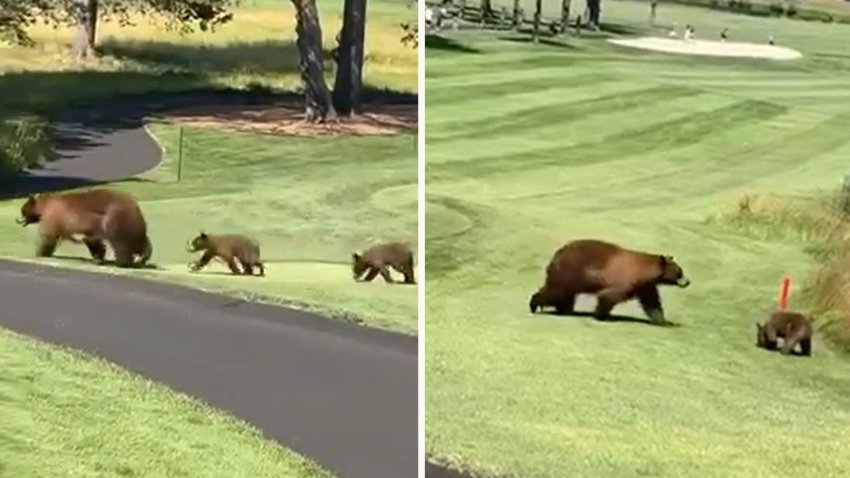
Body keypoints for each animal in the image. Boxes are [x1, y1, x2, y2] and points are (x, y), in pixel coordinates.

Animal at [17, 188, 152, 268]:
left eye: (23, 210)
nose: (17, 219)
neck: (44, 207)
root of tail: (135, 205)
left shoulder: (53, 217)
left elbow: (47, 235)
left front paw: (41, 252)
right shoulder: (88, 228)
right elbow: (93, 241)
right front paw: (98, 258)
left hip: (116, 220)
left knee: (121, 243)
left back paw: (122, 262)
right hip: (133, 225)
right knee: (141, 241)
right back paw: (143, 258)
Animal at [528, 239, 688, 324]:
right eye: (680, 272)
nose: (688, 282)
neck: (644, 271)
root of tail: (557, 254)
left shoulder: (644, 286)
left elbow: (652, 302)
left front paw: (663, 321)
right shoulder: (624, 280)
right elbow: (609, 295)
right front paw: (600, 315)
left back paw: (564, 309)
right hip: (569, 273)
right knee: (556, 291)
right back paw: (535, 304)